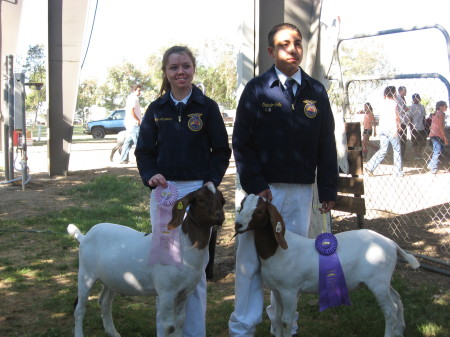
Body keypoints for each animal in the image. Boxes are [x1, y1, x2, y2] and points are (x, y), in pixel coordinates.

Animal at [67, 185, 225, 336]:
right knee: (79, 308)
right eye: (200, 199)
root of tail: (84, 236)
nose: (220, 215)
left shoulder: (183, 293)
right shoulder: (166, 292)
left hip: (111, 278)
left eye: (222, 200)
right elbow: (169, 327)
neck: (183, 245)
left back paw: (112, 332)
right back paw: (80, 333)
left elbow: (180, 323)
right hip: (86, 274)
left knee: (104, 302)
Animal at [236, 193, 422, 336]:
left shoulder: (290, 291)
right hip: (383, 280)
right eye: (241, 205)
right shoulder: (277, 290)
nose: (238, 225)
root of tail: (391, 244)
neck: (277, 251)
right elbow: (276, 318)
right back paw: (399, 331)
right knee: (397, 299)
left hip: (378, 282)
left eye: (259, 211)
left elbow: (285, 321)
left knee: (390, 310)